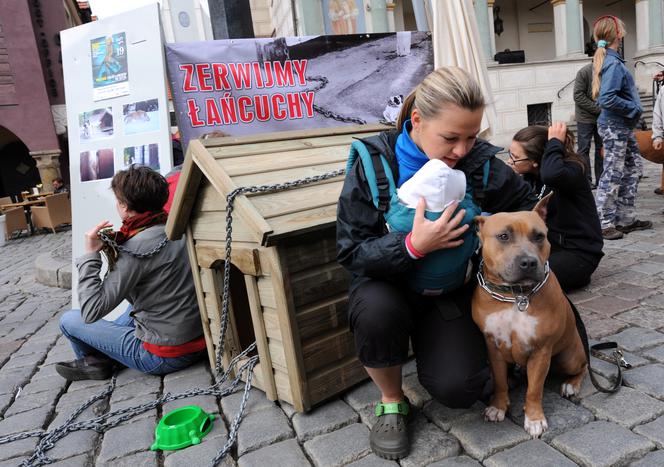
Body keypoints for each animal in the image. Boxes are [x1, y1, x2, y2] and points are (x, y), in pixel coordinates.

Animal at [472, 195, 588, 438]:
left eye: (539, 236)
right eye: (503, 236)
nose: (528, 262)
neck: (515, 296)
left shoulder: (541, 351)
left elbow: (534, 389)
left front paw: (534, 419)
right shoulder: (494, 348)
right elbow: (499, 382)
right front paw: (498, 406)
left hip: (568, 358)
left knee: (582, 367)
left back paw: (571, 385)